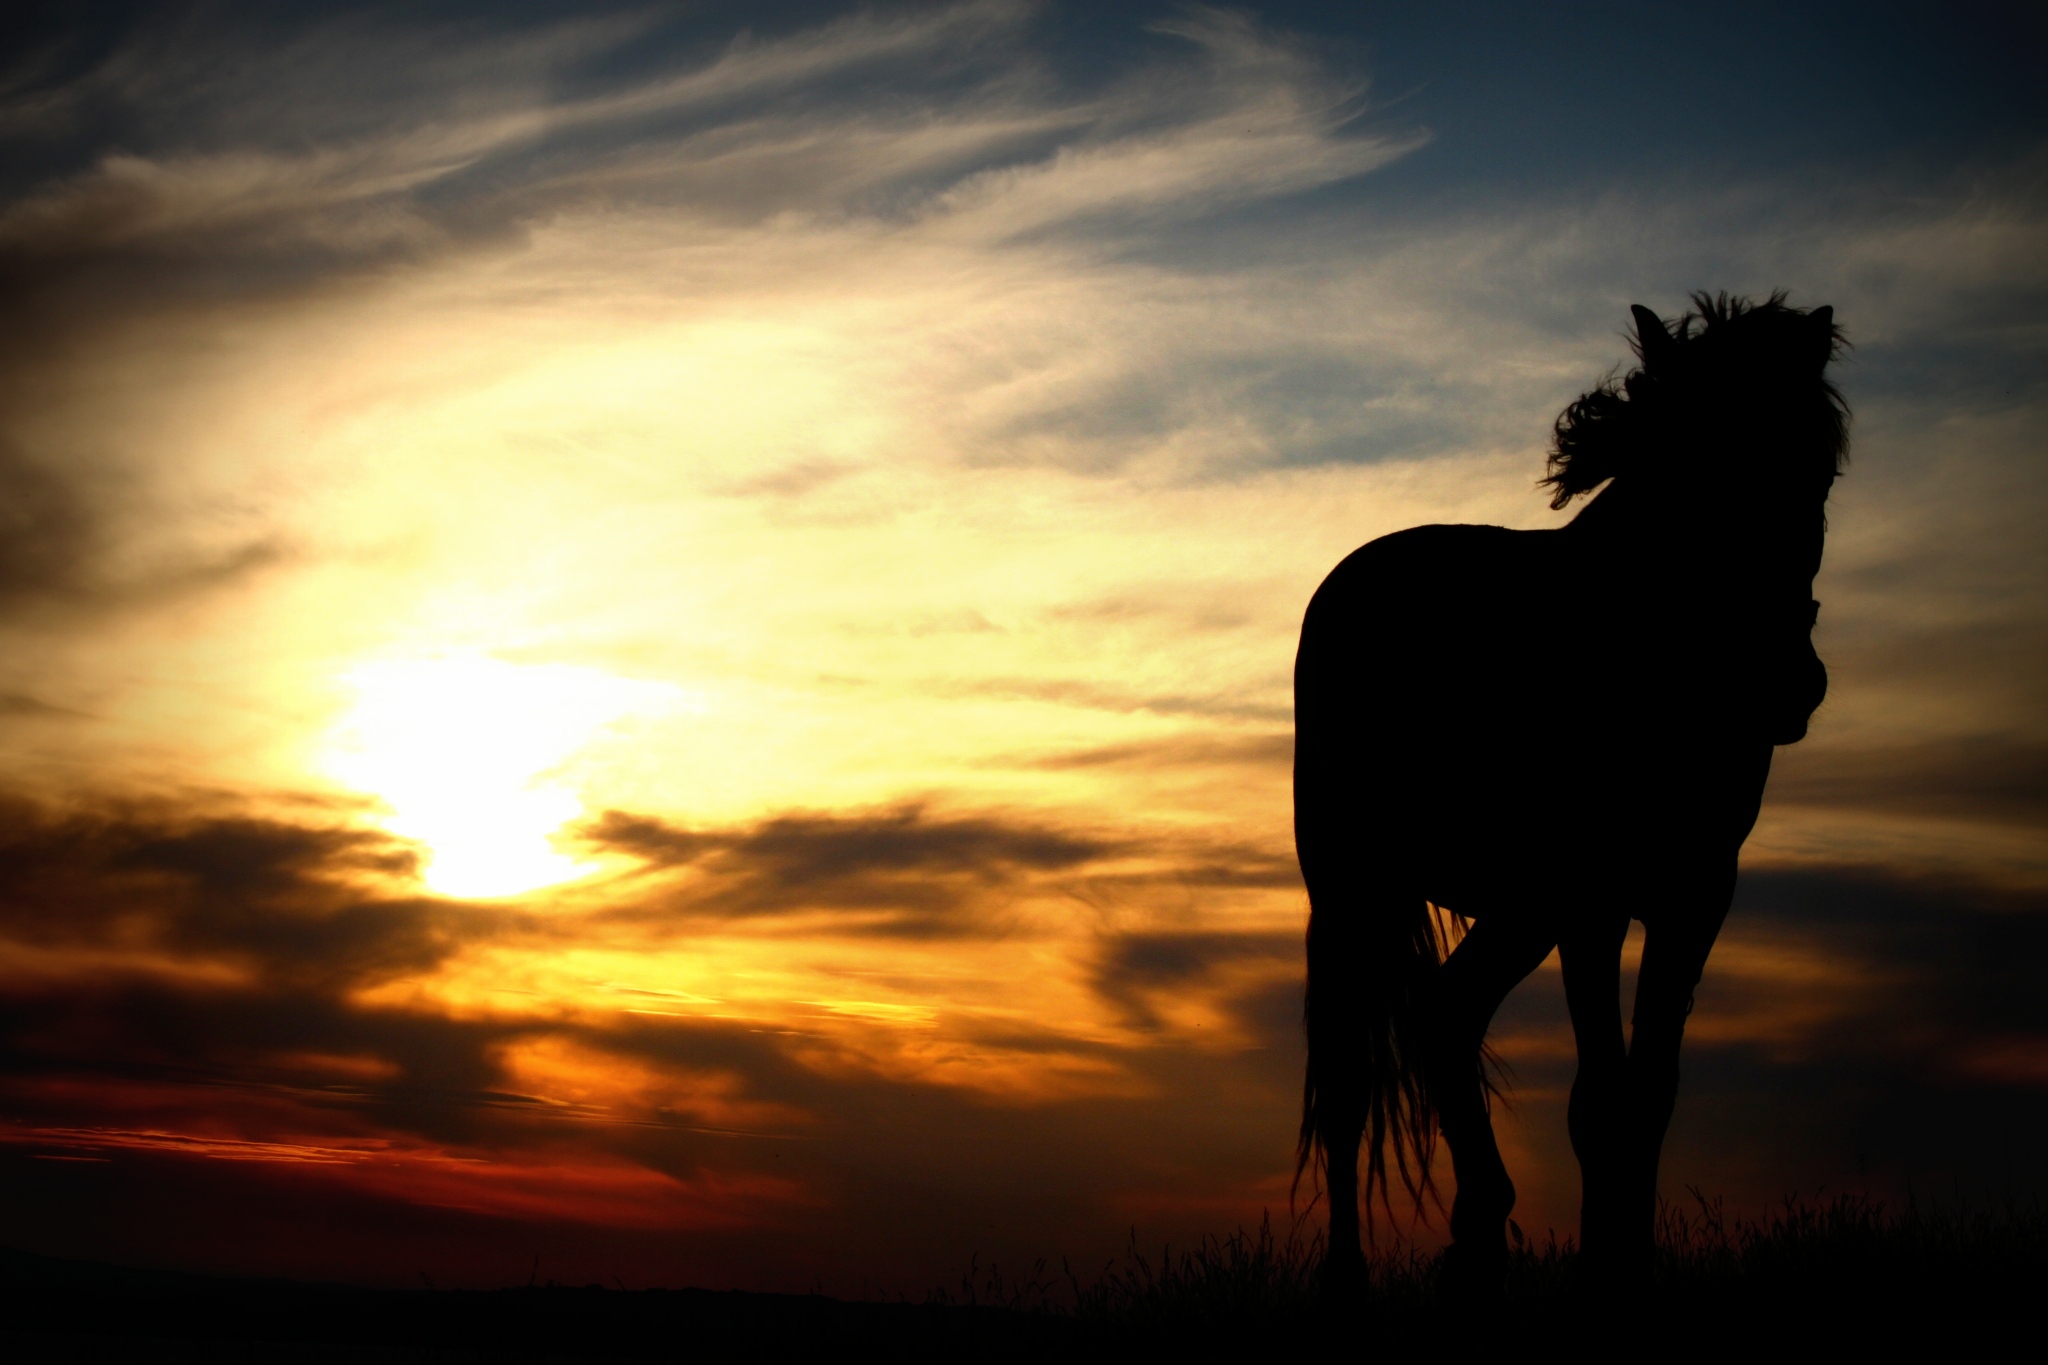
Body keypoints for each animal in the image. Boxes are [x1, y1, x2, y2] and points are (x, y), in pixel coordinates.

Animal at [1302, 294, 1851, 1301]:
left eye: (1816, 469)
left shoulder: (1695, 895)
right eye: (1687, 466)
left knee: (1447, 1012)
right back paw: (1349, 1277)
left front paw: (1628, 1258)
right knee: (1353, 1079)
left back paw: (1479, 1235)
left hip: (1519, 907)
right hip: (1354, 887)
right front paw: (1604, 1268)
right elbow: (1598, 1097)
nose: (1785, 683)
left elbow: (1650, 1091)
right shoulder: (1592, 901)